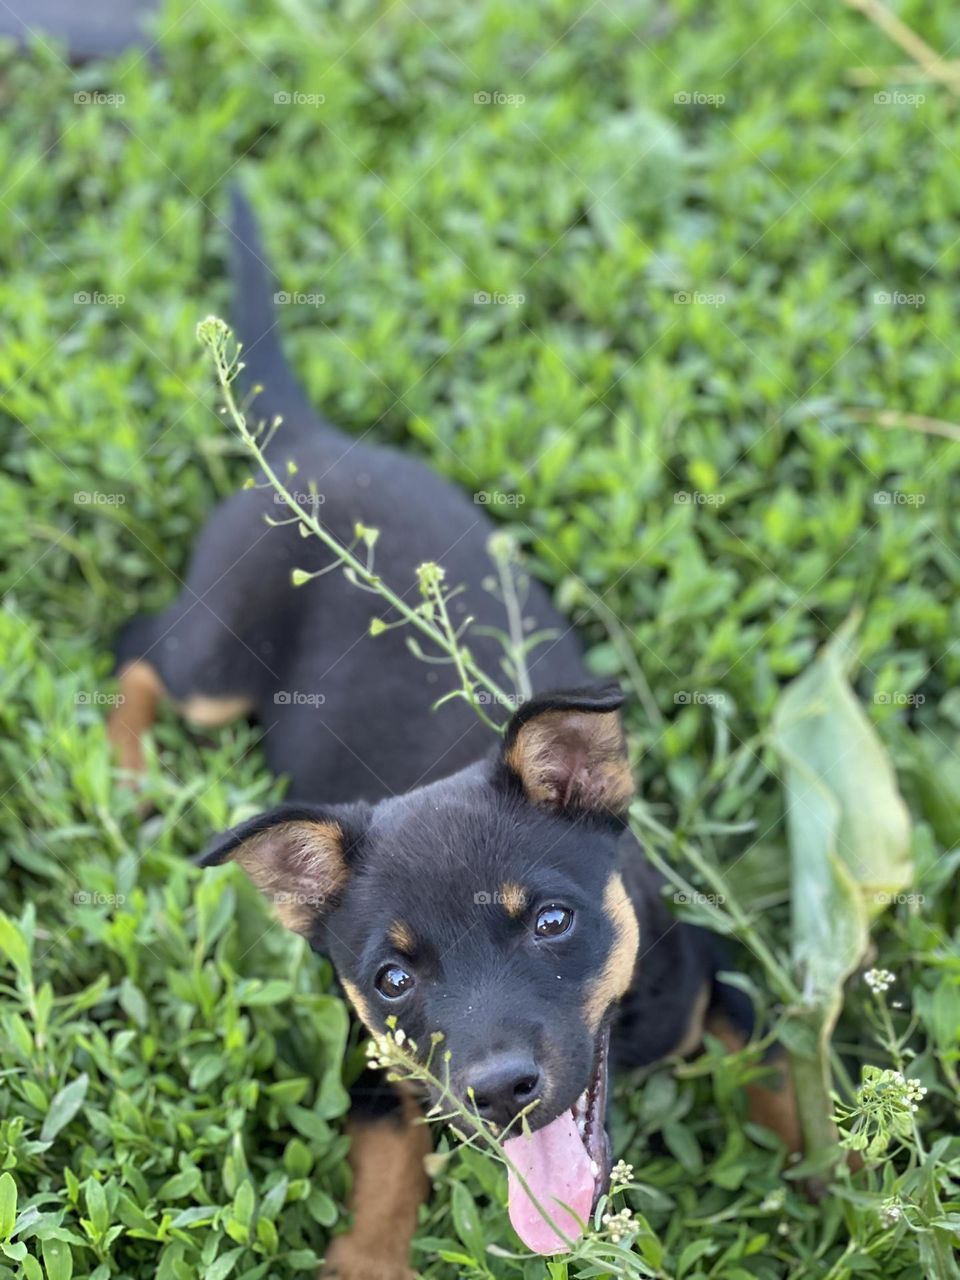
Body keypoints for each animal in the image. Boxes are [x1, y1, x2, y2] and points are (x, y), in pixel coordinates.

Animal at [108, 192, 798, 1280]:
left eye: (552, 922)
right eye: (392, 978)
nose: (502, 1091)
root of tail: (303, 445)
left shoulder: (713, 982)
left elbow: (791, 1094)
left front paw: (854, 1191)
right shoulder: (375, 1056)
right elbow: (388, 1163)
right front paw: (368, 1256)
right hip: (215, 668)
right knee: (138, 651)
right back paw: (130, 775)